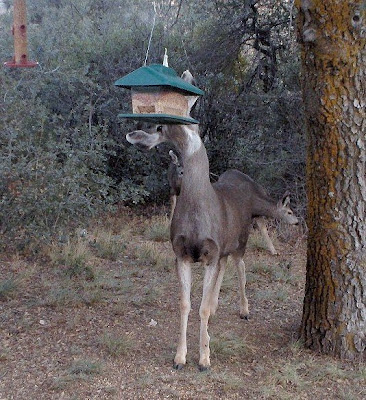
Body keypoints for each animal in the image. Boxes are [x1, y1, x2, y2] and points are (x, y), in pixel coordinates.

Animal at [167, 150, 298, 256]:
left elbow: (264, 230)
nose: (297, 222)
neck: (255, 201)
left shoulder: (257, 215)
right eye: (289, 212)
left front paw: (274, 251)